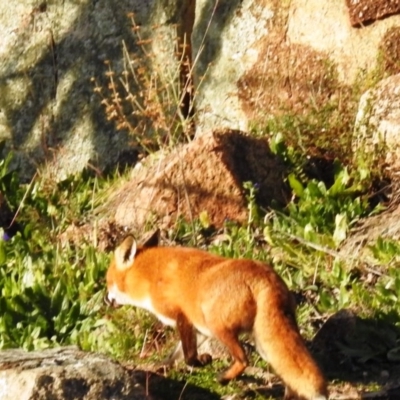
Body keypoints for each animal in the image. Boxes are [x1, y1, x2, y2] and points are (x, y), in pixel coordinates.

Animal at [106, 231, 328, 400]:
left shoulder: (182, 315)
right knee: (289, 374)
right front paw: (161, 366)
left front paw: (202, 361)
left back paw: (225, 377)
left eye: (107, 281)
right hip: (265, 343)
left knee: (244, 359)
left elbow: (189, 357)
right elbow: (175, 355)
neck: (148, 276)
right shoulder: (198, 328)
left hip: (219, 327)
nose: (106, 300)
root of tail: (265, 278)